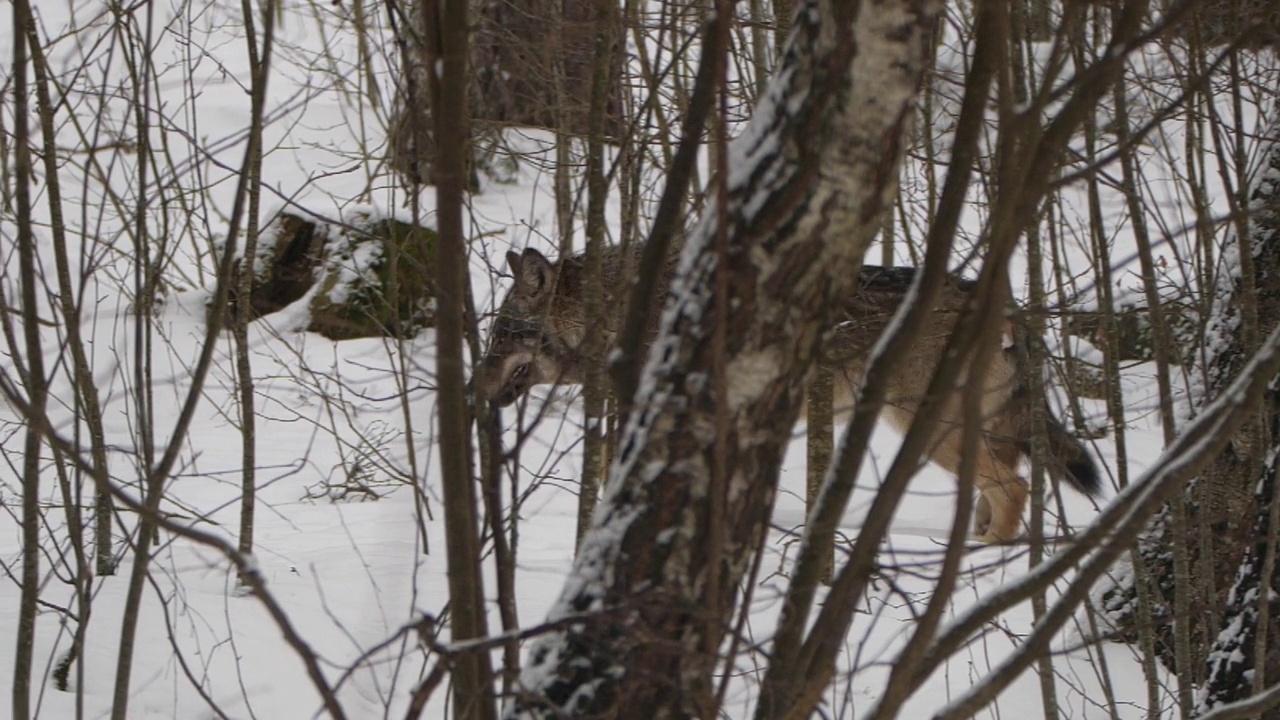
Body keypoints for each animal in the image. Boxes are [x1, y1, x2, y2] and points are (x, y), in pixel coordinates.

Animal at [481, 243, 1100, 540]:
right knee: (1000, 490)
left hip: (926, 430)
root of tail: (1006, 303)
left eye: (502, 334)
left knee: (1014, 489)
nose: (475, 388)